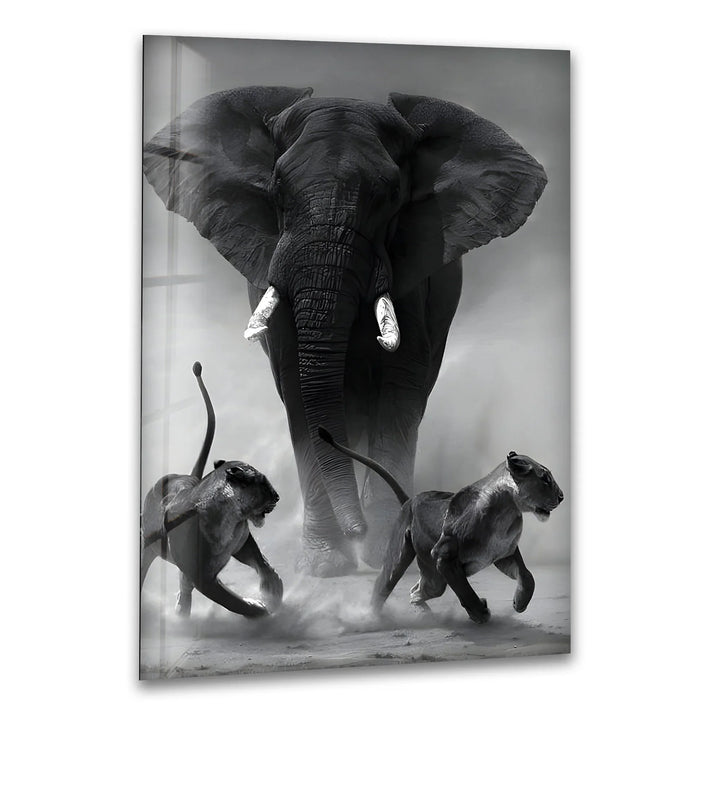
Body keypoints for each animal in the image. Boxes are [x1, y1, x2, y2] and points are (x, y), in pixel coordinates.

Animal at [141, 363, 283, 618]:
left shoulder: (243, 545)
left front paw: (273, 588)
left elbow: (262, 563)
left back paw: (182, 612)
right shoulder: (203, 579)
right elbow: (233, 601)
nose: (277, 497)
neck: (232, 518)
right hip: (147, 550)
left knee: (183, 585)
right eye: (263, 482)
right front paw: (261, 608)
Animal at [142, 86, 547, 577]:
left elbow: (399, 390)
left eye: (390, 196)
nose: (358, 532)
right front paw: (327, 564)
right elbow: (297, 390)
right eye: (277, 189)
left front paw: (382, 552)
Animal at [318, 427, 563, 624]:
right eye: (545, 479)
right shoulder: (444, 555)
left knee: (417, 590)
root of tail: (411, 499)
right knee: (384, 585)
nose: (562, 497)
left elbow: (528, 576)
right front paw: (480, 613)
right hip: (410, 562)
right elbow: (465, 590)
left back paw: (423, 612)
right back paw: (370, 618)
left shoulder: (504, 554)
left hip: (433, 579)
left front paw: (519, 603)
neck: (508, 511)